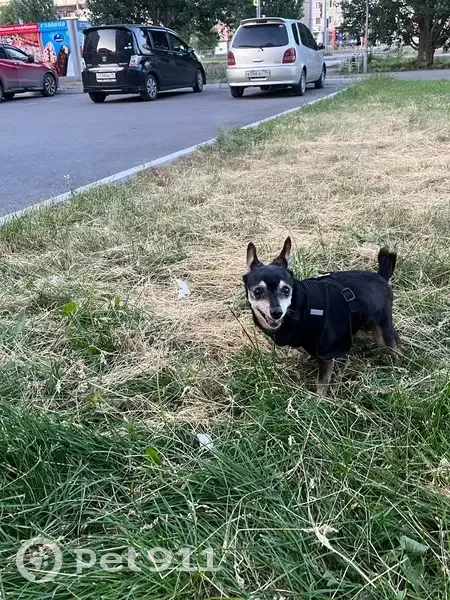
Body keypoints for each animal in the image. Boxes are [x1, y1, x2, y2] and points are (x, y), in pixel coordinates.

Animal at [243, 237, 404, 395]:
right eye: (258, 291)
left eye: (286, 290)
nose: (277, 312)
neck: (298, 308)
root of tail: (381, 276)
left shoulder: (326, 354)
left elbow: (321, 385)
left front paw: (317, 401)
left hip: (384, 330)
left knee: (398, 349)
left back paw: (397, 370)